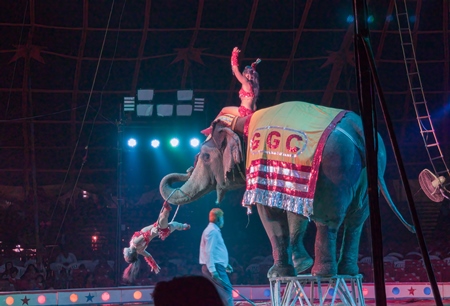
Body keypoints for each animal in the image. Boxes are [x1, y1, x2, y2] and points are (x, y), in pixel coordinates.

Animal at [159, 102, 414, 278]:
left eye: (204, 157)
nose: (186, 168)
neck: (242, 123)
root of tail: (356, 126)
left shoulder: (261, 162)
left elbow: (269, 214)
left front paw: (278, 273)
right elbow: (294, 213)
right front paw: (300, 266)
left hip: (335, 169)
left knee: (328, 220)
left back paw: (322, 274)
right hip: (370, 168)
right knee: (356, 221)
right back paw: (347, 272)